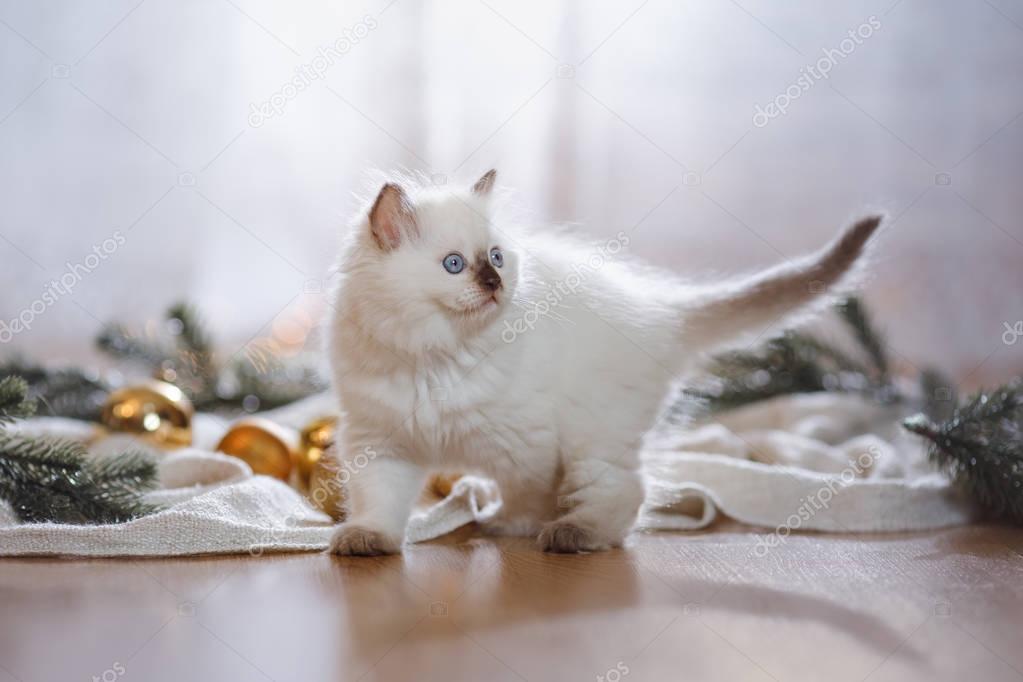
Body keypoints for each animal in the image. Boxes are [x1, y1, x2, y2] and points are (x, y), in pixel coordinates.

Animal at [325, 170, 879, 556]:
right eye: (455, 265)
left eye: (497, 258)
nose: (495, 284)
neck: (435, 356)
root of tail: (662, 312)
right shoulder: (380, 442)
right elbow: (378, 503)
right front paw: (368, 540)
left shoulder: (522, 444)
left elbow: (526, 495)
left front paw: (511, 525)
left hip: (595, 440)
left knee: (627, 493)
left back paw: (575, 534)